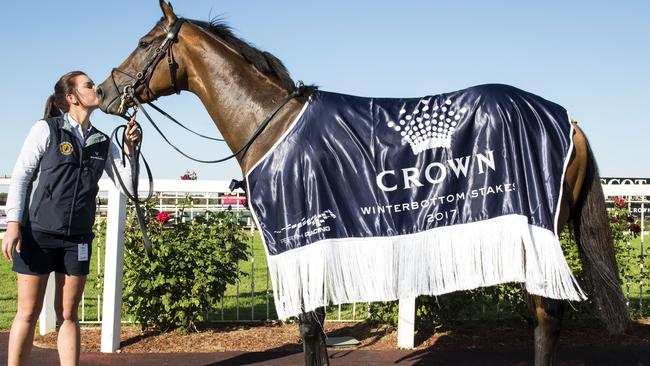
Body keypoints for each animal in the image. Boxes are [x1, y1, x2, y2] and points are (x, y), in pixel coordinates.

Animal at [95, 1, 624, 364]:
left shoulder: (300, 238)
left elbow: (310, 330)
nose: (103, 91)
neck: (272, 124)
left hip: (534, 232)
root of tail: (568, 120)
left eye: (145, 41)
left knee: (548, 314)